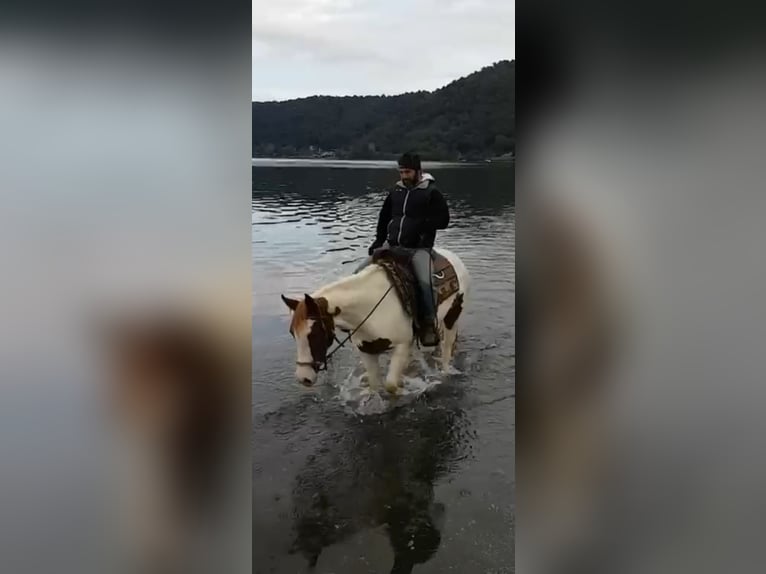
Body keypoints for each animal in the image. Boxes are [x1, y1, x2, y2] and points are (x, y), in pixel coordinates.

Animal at [281, 247, 470, 393]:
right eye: (292, 333)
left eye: (314, 333)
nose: (303, 378)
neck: (369, 305)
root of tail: (453, 257)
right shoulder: (367, 350)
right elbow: (374, 385)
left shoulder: (402, 345)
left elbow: (390, 385)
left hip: (452, 317)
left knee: (447, 350)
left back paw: (445, 374)